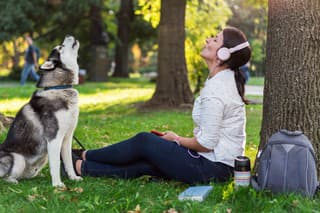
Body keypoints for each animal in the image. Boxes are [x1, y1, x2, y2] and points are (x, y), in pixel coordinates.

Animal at [0, 35, 82, 187]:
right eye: (61, 47)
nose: (68, 36)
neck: (59, 88)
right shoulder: (54, 138)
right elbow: (56, 164)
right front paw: (57, 185)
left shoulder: (67, 138)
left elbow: (68, 162)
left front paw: (73, 177)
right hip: (18, 158)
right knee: (6, 178)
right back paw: (13, 181)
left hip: (39, 162)